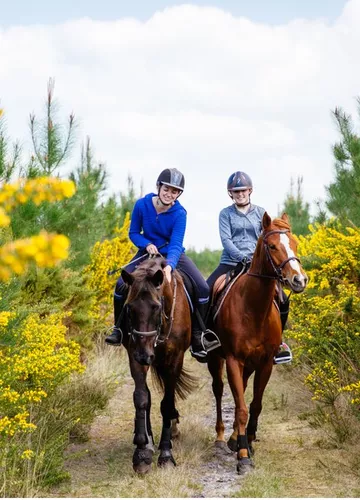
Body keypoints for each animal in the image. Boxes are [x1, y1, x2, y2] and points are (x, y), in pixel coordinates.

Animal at [120, 258, 194, 472]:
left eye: (156, 307)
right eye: (129, 308)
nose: (144, 355)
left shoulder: (175, 359)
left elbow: (167, 404)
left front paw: (166, 454)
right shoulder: (134, 356)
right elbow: (141, 398)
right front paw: (142, 453)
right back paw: (149, 442)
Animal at [207, 213, 308, 474]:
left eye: (294, 243)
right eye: (272, 246)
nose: (299, 280)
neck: (253, 308)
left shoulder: (265, 364)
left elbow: (255, 405)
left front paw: (247, 442)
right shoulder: (233, 360)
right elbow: (241, 408)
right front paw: (243, 456)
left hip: (249, 365)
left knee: (241, 390)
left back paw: (234, 439)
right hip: (216, 359)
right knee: (219, 391)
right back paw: (221, 439)